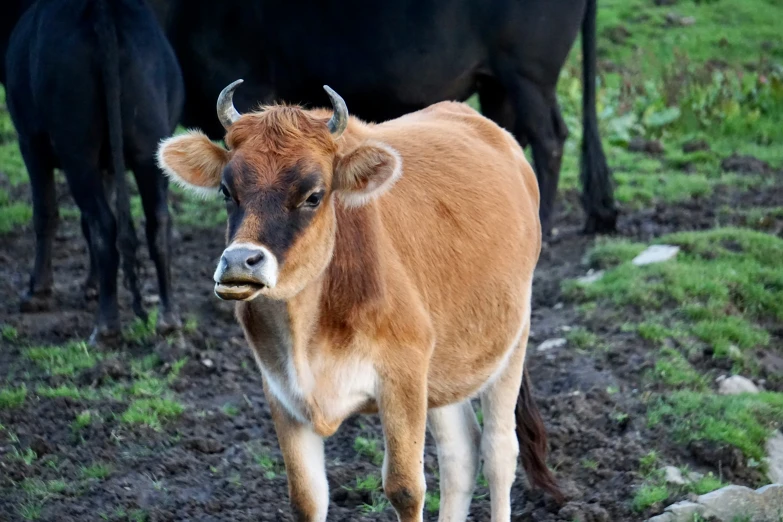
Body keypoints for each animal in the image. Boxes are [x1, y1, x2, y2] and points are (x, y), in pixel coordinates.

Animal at [4, 0, 185, 342]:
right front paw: (91, 285)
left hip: (77, 150)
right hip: (150, 145)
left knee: (103, 223)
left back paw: (106, 327)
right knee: (157, 220)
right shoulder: (108, 164)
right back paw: (168, 318)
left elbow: (45, 213)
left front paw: (37, 292)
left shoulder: (29, 140)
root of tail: (102, 11)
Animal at [159, 79, 560, 516]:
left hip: (512, 338)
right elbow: (306, 499)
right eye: (226, 191)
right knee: (461, 453)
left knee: (499, 452)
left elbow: (405, 488)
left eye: (314, 195)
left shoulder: (402, 376)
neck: (305, 333)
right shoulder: (281, 391)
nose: (239, 261)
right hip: (444, 366)